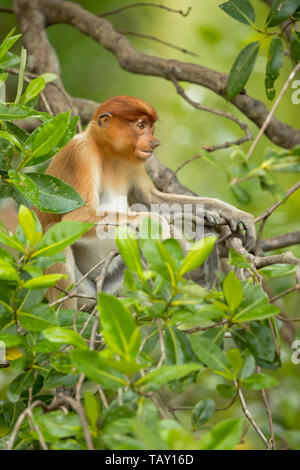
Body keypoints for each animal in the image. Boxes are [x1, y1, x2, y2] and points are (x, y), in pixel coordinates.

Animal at [35, 95, 255, 308]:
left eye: (151, 128)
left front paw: (229, 213)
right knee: (54, 232)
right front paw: (159, 224)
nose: (154, 142)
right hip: (81, 288)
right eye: (141, 126)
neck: (108, 152)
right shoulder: (81, 154)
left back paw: (201, 272)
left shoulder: (135, 162)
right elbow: (77, 216)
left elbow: (151, 200)